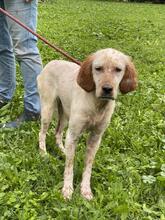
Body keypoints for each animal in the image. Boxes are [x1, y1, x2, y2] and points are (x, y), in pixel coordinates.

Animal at [37, 48, 137, 199]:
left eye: (118, 69)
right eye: (98, 68)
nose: (107, 89)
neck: (97, 105)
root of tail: (51, 62)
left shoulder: (95, 137)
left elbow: (88, 166)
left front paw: (85, 189)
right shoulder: (73, 134)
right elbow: (69, 166)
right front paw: (67, 189)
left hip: (65, 115)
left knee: (58, 133)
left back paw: (62, 150)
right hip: (48, 109)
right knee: (42, 133)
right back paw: (43, 153)